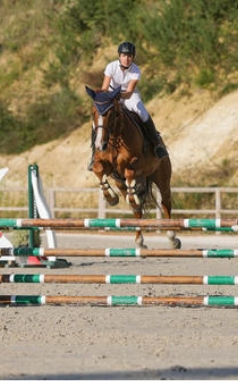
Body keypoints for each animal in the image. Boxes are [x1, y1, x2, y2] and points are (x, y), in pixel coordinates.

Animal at [85, 84, 180, 248]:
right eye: (93, 112)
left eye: (111, 114)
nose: (99, 144)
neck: (114, 138)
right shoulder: (108, 167)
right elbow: (98, 170)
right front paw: (110, 198)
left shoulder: (137, 163)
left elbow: (129, 170)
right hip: (121, 183)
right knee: (136, 210)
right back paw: (139, 241)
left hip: (162, 177)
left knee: (165, 203)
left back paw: (172, 238)